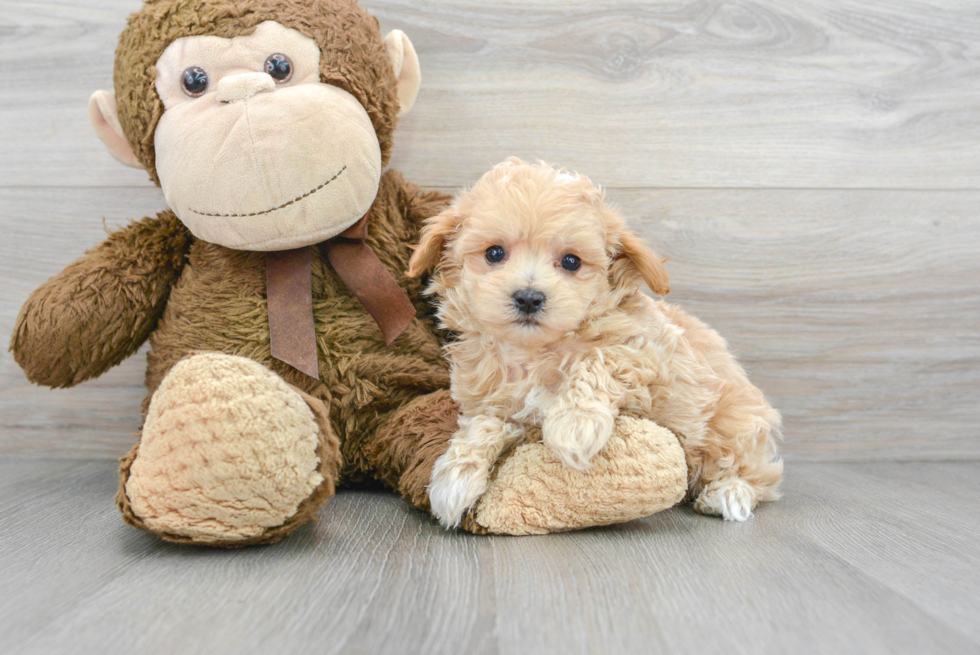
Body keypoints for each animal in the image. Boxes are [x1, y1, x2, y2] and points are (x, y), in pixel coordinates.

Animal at [404, 159, 780, 528]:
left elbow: (597, 358)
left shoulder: (651, 354)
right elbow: (484, 423)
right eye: (494, 253)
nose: (528, 298)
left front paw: (574, 424)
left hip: (731, 423)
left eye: (571, 261)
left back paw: (729, 493)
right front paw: (455, 476)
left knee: (754, 473)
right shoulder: (496, 405)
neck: (533, 353)